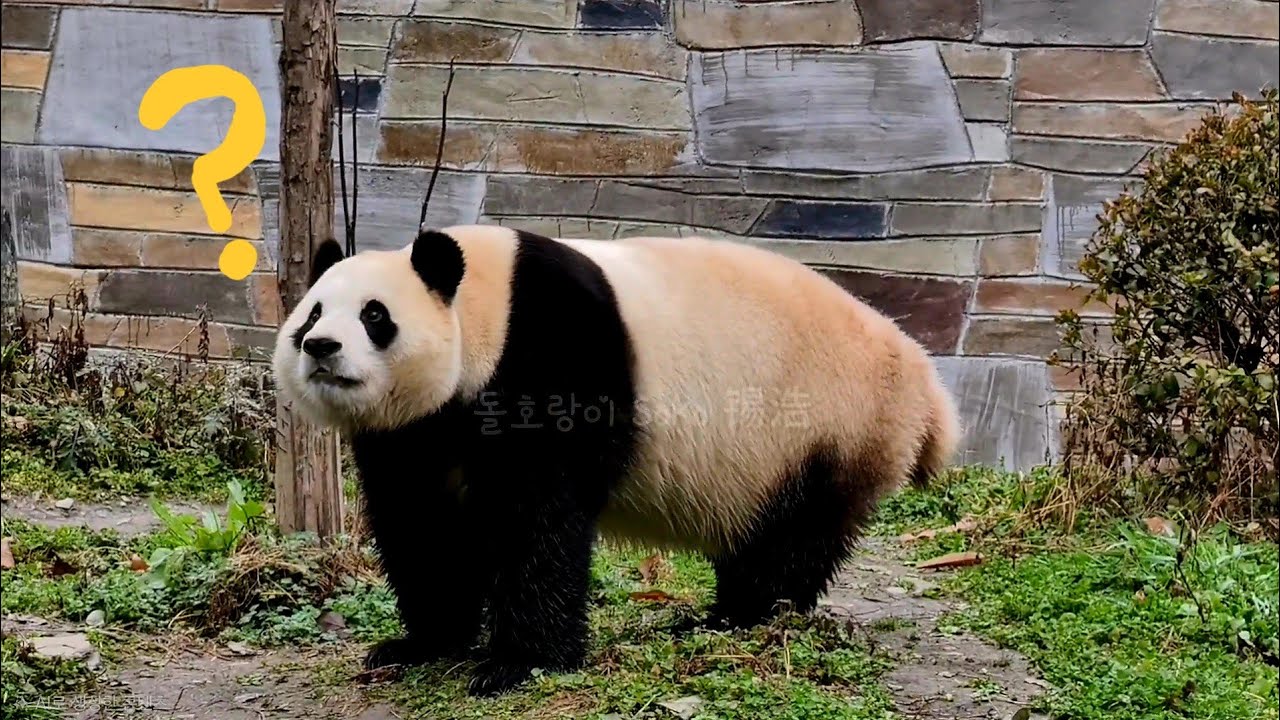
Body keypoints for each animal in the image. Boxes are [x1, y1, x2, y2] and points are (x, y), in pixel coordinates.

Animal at [272, 224, 961, 696]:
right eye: (311, 312)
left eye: (375, 315)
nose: (321, 347)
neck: (485, 309)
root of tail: (922, 378)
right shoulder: (415, 434)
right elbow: (423, 527)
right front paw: (416, 644)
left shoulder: (550, 358)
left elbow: (538, 523)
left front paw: (515, 664)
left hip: (827, 426)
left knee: (790, 538)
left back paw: (736, 619)